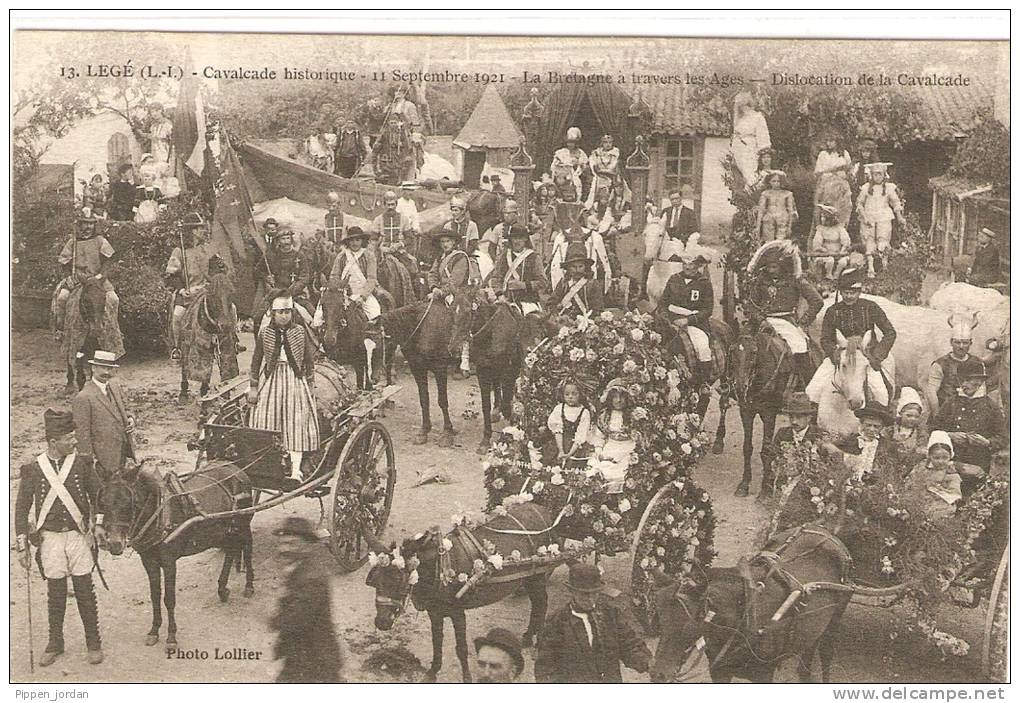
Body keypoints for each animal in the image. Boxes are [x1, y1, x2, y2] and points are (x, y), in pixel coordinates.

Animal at [100, 461, 255, 653]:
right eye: (102, 502)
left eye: (131, 502)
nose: (114, 544)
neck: (159, 515)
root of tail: (237, 469)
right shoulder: (148, 561)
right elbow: (155, 596)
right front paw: (154, 630)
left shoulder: (169, 562)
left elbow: (169, 599)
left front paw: (171, 637)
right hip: (224, 529)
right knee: (231, 550)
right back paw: (222, 589)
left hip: (242, 524)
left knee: (247, 547)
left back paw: (249, 585)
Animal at [176, 256, 239, 399]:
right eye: (212, 295)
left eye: (232, 292)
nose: (225, 325)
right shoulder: (200, 351)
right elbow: (202, 374)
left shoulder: (226, 348)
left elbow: (227, 372)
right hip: (184, 346)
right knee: (184, 366)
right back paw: (183, 392)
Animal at [365, 501, 563, 681]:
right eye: (374, 580)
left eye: (399, 580)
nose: (381, 622)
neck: (440, 568)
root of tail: (543, 510)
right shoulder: (435, 613)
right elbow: (437, 642)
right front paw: (432, 672)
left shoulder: (458, 612)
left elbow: (461, 648)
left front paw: (467, 677)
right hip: (529, 578)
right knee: (537, 604)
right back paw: (528, 637)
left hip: (537, 576)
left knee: (541, 603)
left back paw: (535, 641)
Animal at [383, 295, 463, 444]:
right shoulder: (417, 368)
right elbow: (424, 399)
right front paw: (424, 430)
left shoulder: (440, 369)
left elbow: (442, 400)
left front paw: (447, 432)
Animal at [648, 526, 856, 681]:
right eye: (660, 618)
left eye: (689, 625)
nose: (659, 675)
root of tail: (826, 533)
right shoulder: (719, 671)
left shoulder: (763, 675)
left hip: (834, 620)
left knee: (826, 652)